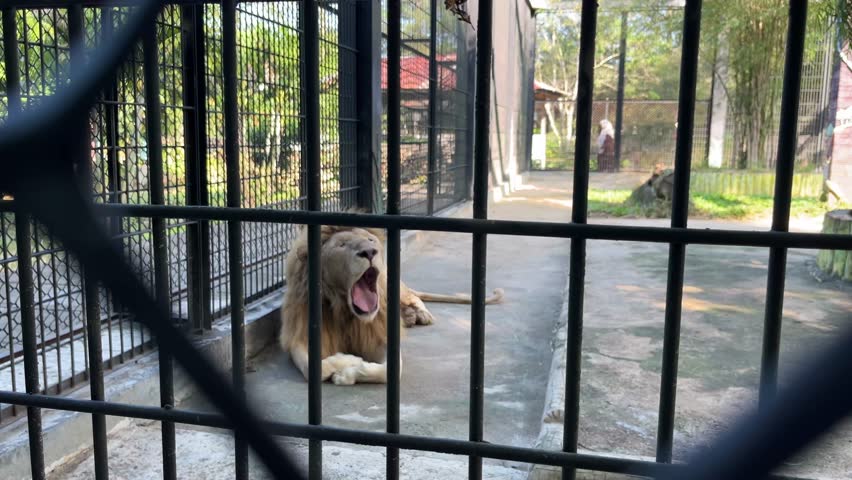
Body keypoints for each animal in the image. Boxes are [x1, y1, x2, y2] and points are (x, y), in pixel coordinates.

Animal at [279, 224, 504, 385]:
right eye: (341, 245)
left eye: (370, 240)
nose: (370, 252)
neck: (344, 310)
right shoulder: (299, 336)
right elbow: (315, 368)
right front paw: (347, 360)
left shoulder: (379, 336)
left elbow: (391, 370)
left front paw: (346, 372)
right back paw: (409, 317)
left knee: (414, 296)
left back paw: (420, 315)